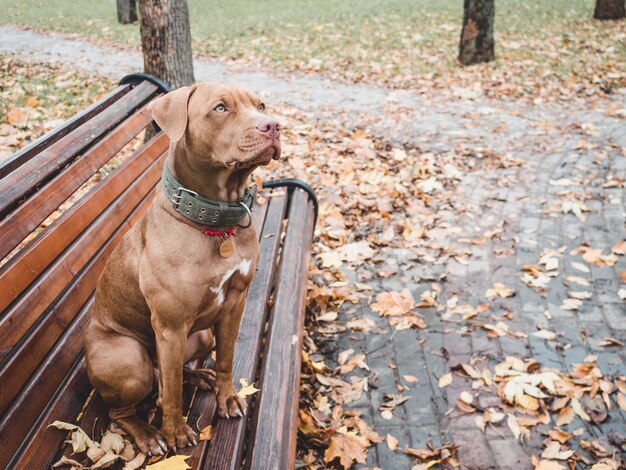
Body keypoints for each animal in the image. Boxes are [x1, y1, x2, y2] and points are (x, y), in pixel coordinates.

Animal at [84, 83, 280, 456]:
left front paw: (226, 397)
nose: (274, 126)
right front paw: (175, 433)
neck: (215, 220)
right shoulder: (171, 327)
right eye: (221, 108)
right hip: (132, 360)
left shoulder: (234, 304)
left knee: (173, 375)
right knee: (130, 406)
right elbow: (172, 393)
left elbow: (225, 359)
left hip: (200, 336)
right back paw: (148, 434)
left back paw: (199, 377)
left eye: (261, 104)